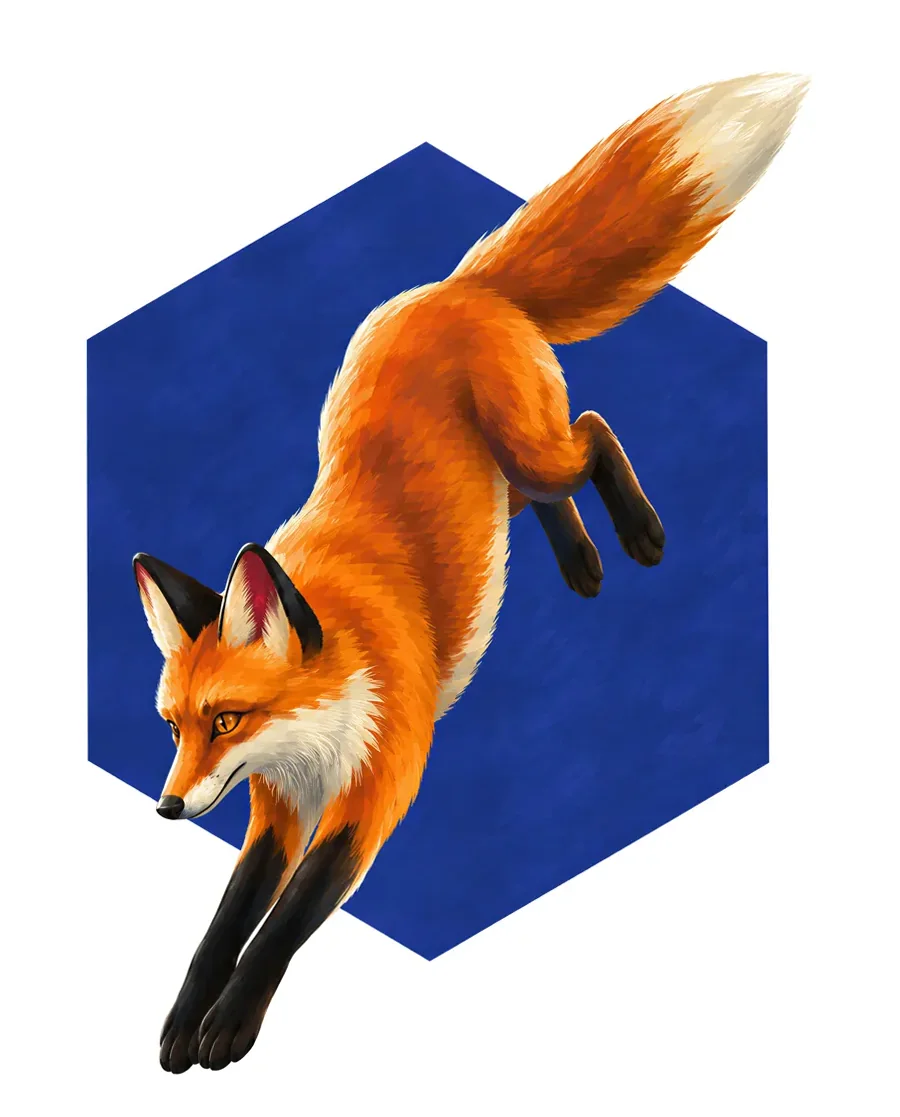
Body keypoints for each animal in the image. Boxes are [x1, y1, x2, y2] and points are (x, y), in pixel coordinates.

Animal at [133, 72, 807, 1072]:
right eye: (174, 725)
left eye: (226, 718)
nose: (169, 807)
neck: (323, 723)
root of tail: (457, 286)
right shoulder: (276, 807)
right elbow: (225, 922)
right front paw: (184, 1018)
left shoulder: (373, 794)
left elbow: (280, 925)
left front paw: (229, 1024)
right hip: (504, 480)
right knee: (549, 491)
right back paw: (581, 563)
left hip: (532, 446)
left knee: (595, 433)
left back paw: (637, 536)